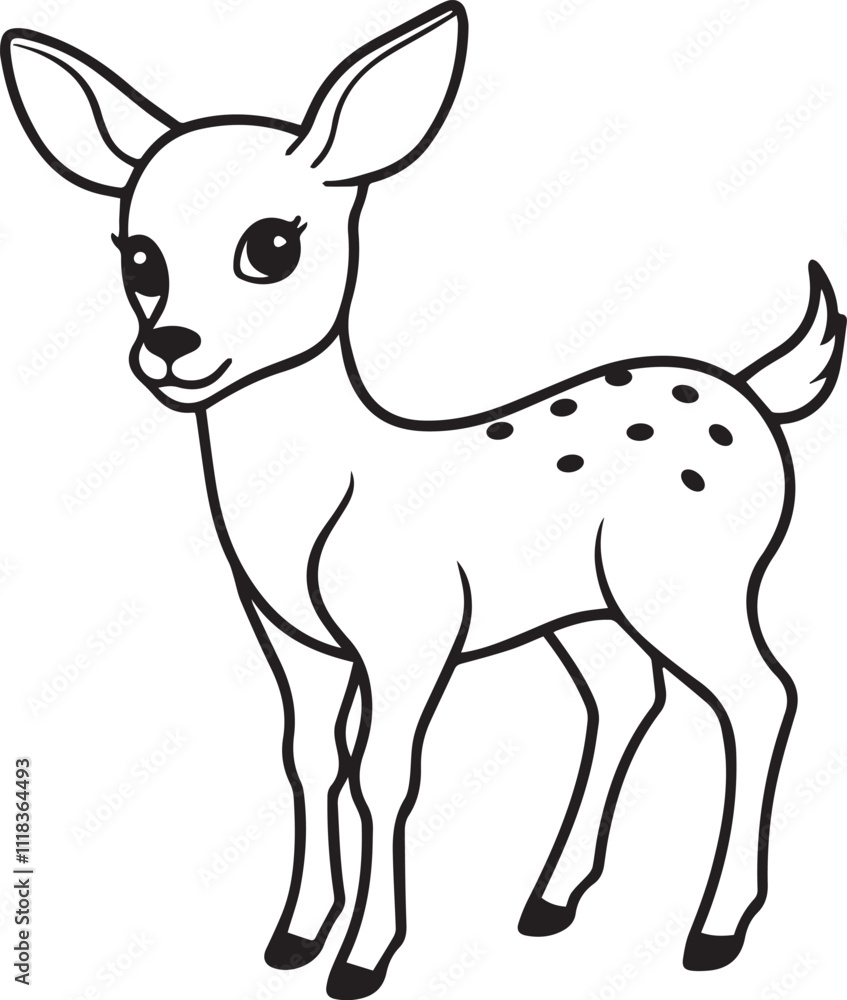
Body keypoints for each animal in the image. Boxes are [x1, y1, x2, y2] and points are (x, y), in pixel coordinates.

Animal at [2, 5, 844, 998]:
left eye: (272, 243)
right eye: (138, 256)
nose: (171, 349)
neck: (322, 500)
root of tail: (753, 391)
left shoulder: (411, 632)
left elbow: (384, 776)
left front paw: (362, 959)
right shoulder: (292, 638)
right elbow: (308, 761)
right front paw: (293, 937)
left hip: (693, 578)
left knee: (762, 696)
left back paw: (713, 931)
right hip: (585, 608)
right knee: (625, 698)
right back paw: (550, 900)